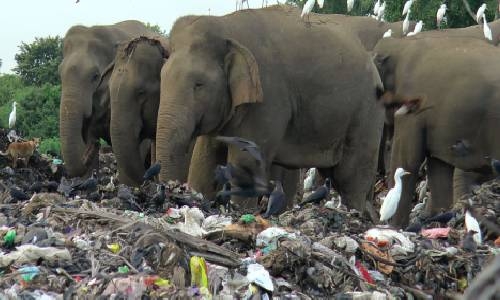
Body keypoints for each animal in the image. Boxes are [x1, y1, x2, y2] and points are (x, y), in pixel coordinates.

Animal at [155, 5, 382, 214]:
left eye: (199, 84)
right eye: (162, 77)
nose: (171, 191)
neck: (227, 25)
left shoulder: (268, 98)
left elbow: (246, 162)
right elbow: (205, 160)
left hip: (366, 114)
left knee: (350, 176)